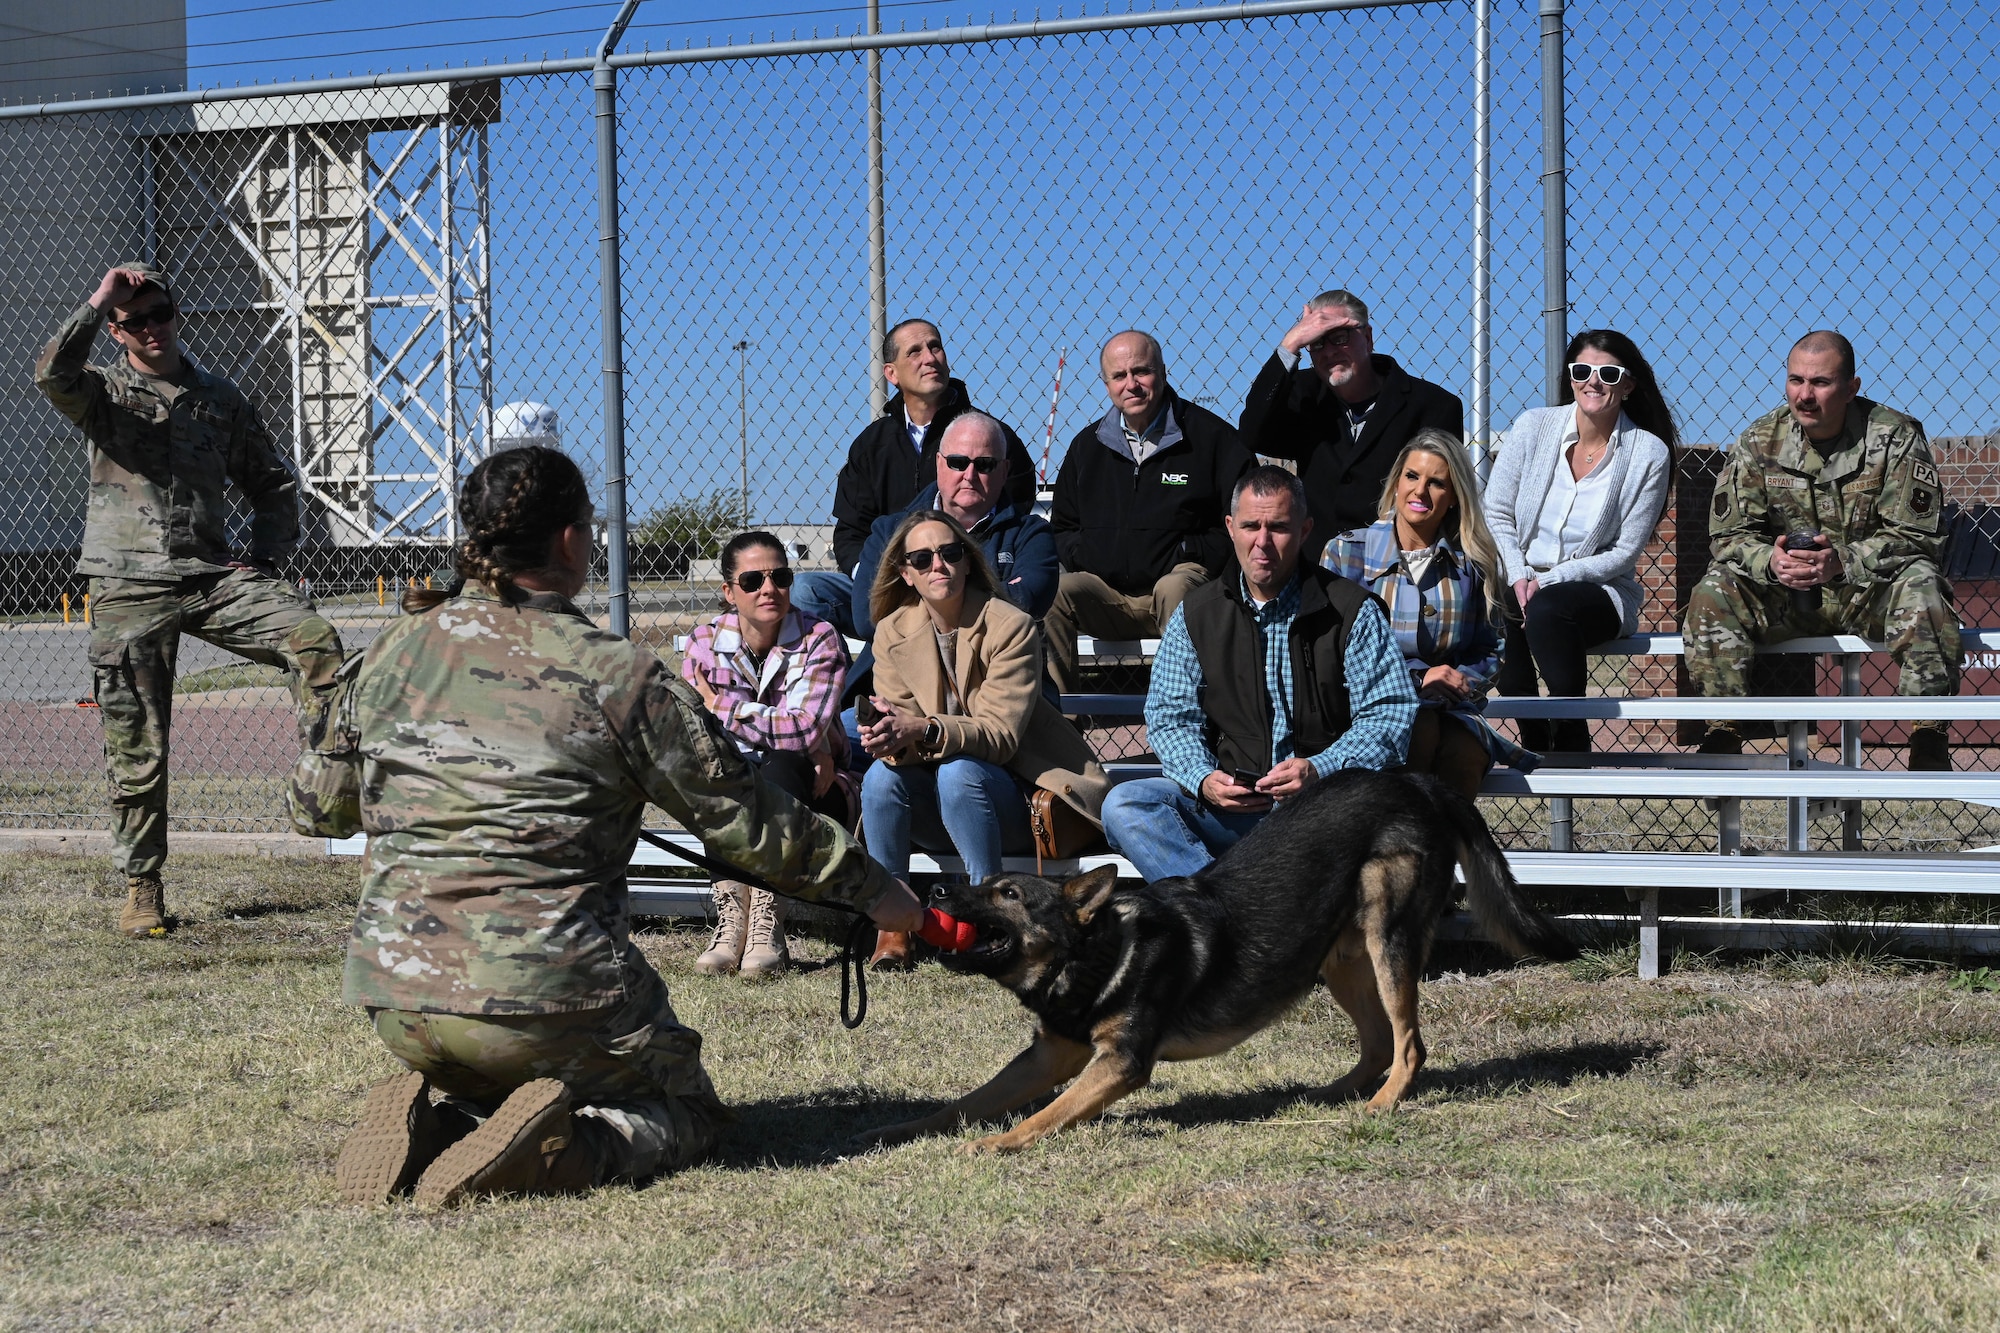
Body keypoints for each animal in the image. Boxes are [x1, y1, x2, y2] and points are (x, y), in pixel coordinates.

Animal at [860, 768, 1576, 1152]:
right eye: (984, 886)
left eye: (1008, 894)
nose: (936, 892)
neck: (1095, 954)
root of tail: (1414, 780)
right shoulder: (1048, 1055)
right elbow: (973, 1098)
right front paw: (908, 1129)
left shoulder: (1118, 1064)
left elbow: (1045, 1113)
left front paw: (999, 1142)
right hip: (1339, 960)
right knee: (1376, 1041)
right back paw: (1331, 1094)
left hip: (1387, 939)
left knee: (1409, 1043)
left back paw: (1383, 1104)